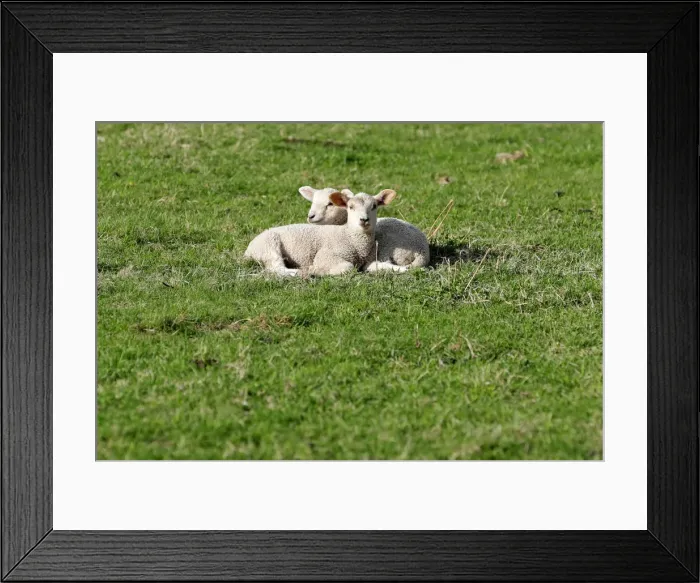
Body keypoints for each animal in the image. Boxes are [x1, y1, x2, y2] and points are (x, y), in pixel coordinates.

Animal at [244, 189, 396, 276]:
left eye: (374, 206)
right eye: (350, 207)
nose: (364, 220)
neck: (350, 237)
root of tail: (248, 250)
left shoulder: (368, 261)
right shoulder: (326, 255)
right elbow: (348, 267)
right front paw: (315, 270)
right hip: (269, 247)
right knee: (276, 268)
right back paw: (299, 272)